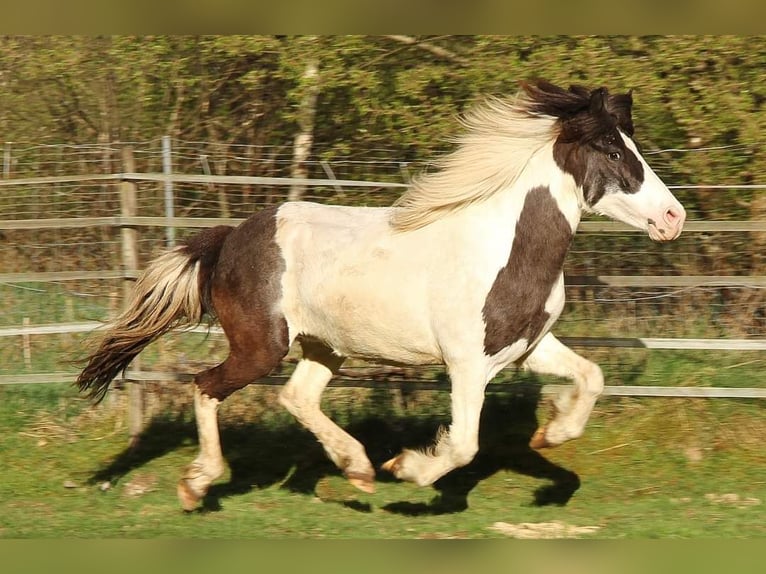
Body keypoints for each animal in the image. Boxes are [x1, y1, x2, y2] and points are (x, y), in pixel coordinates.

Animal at [79, 79, 688, 510]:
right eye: (612, 151)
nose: (673, 217)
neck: (501, 249)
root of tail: (230, 238)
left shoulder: (528, 347)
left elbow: (593, 376)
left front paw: (550, 434)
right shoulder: (466, 364)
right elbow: (464, 445)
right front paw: (410, 469)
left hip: (326, 346)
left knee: (297, 397)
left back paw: (357, 468)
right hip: (261, 346)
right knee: (206, 387)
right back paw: (199, 485)